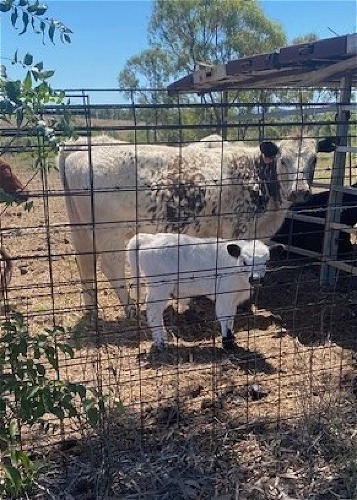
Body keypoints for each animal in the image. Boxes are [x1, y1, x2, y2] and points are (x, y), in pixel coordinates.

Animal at [57, 135, 334, 314]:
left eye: (314, 160)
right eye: (283, 160)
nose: (300, 191)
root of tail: (81, 143)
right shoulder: (239, 227)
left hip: (81, 228)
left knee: (84, 262)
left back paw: (91, 307)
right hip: (109, 232)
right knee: (110, 267)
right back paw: (131, 309)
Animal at [126, 233, 272, 348]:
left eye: (266, 262)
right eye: (245, 262)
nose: (255, 279)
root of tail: (149, 238)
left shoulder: (233, 299)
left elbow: (231, 317)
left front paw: (231, 338)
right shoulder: (224, 296)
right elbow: (224, 316)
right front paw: (227, 342)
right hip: (159, 288)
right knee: (153, 311)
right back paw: (160, 342)